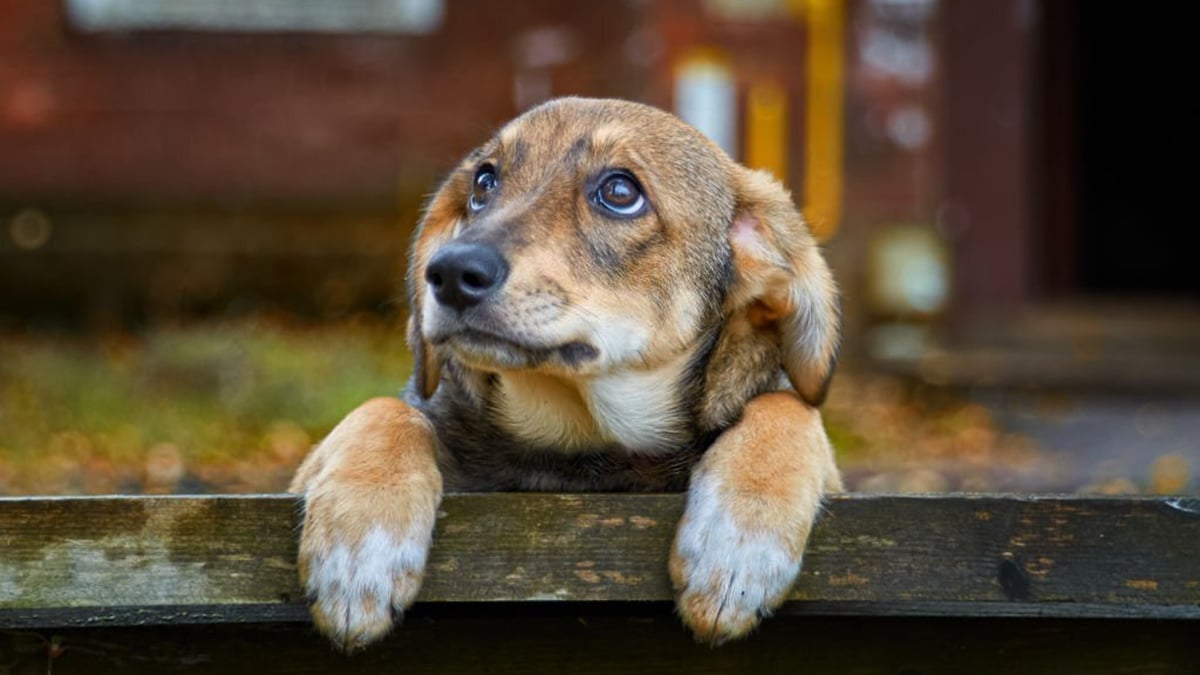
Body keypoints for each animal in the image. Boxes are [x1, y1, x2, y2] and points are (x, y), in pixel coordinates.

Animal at [288, 97, 844, 648]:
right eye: (484, 182)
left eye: (620, 191)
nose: (448, 272)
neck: (578, 441)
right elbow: (385, 409)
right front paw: (358, 547)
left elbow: (788, 405)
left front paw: (739, 544)